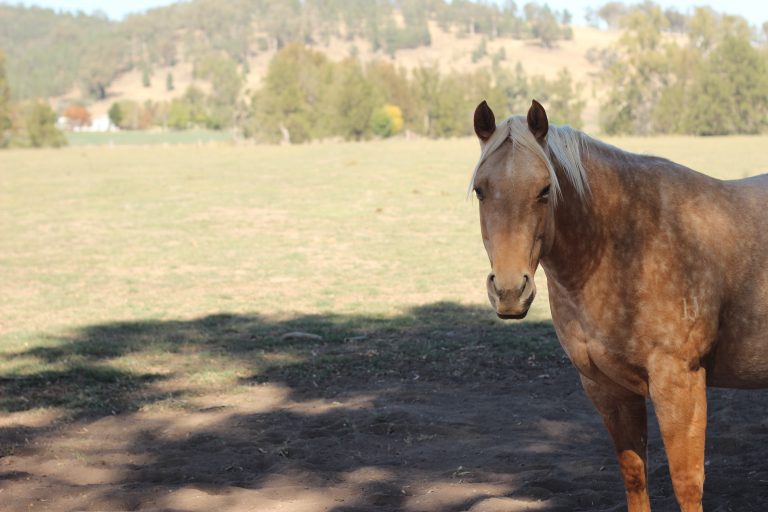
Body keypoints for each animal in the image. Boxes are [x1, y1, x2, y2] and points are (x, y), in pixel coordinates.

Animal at [469, 99, 768, 512]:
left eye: (545, 190)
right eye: (480, 190)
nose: (510, 290)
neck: (628, 245)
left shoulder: (680, 383)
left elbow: (687, 482)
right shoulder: (607, 388)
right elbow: (634, 474)